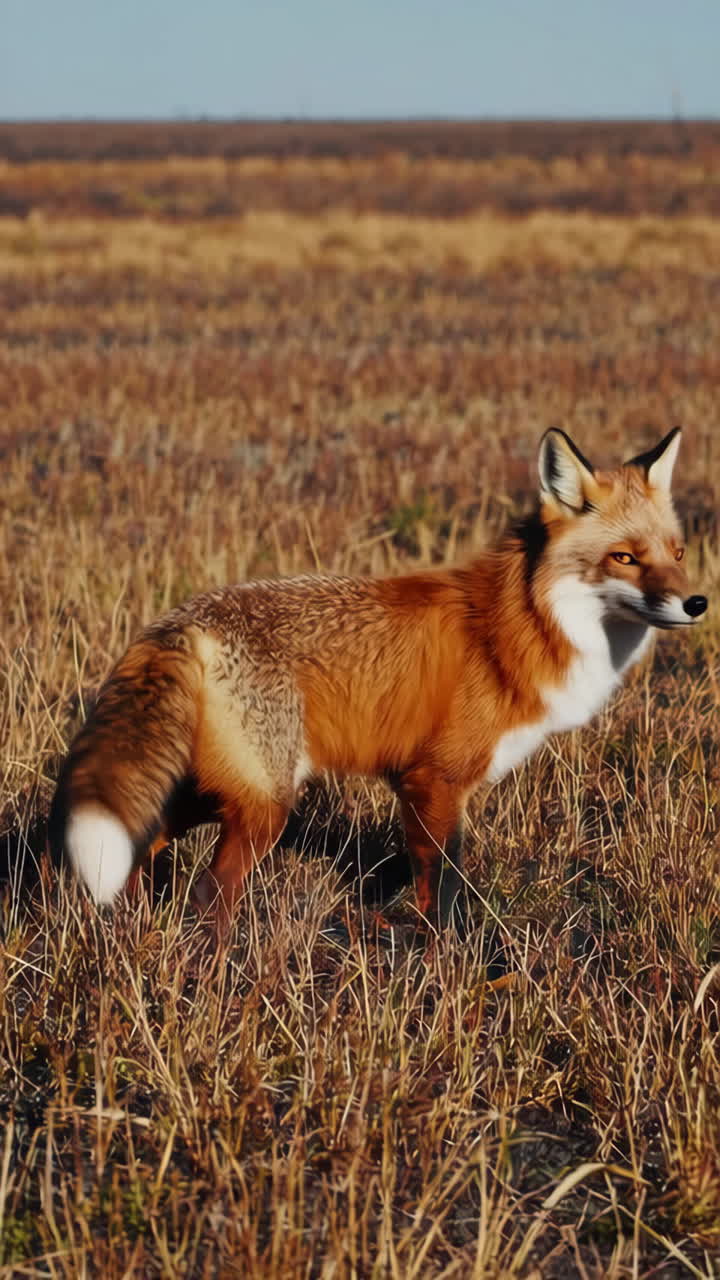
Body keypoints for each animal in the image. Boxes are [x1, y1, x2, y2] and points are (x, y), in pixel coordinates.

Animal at [49, 427, 707, 933]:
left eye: (678, 553)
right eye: (625, 557)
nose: (697, 602)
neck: (521, 622)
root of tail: (179, 621)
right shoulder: (434, 780)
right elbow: (441, 897)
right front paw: (445, 977)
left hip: (215, 790)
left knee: (142, 847)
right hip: (265, 803)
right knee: (210, 893)